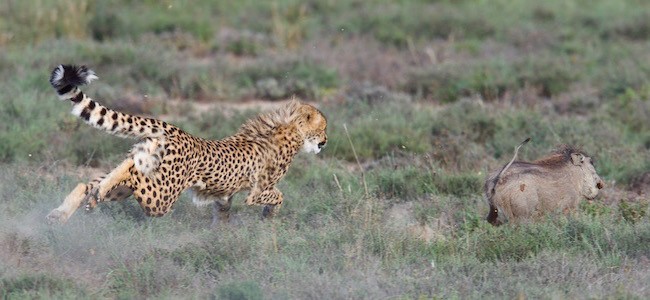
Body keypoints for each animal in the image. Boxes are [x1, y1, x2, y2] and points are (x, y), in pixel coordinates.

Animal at [45, 65, 326, 225]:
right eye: (323, 128)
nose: (324, 143)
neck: (290, 130)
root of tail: (175, 130)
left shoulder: (224, 195)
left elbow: (223, 214)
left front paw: (222, 238)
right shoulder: (258, 190)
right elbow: (278, 196)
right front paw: (269, 216)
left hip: (139, 176)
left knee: (92, 182)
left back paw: (64, 212)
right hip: (160, 197)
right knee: (131, 175)